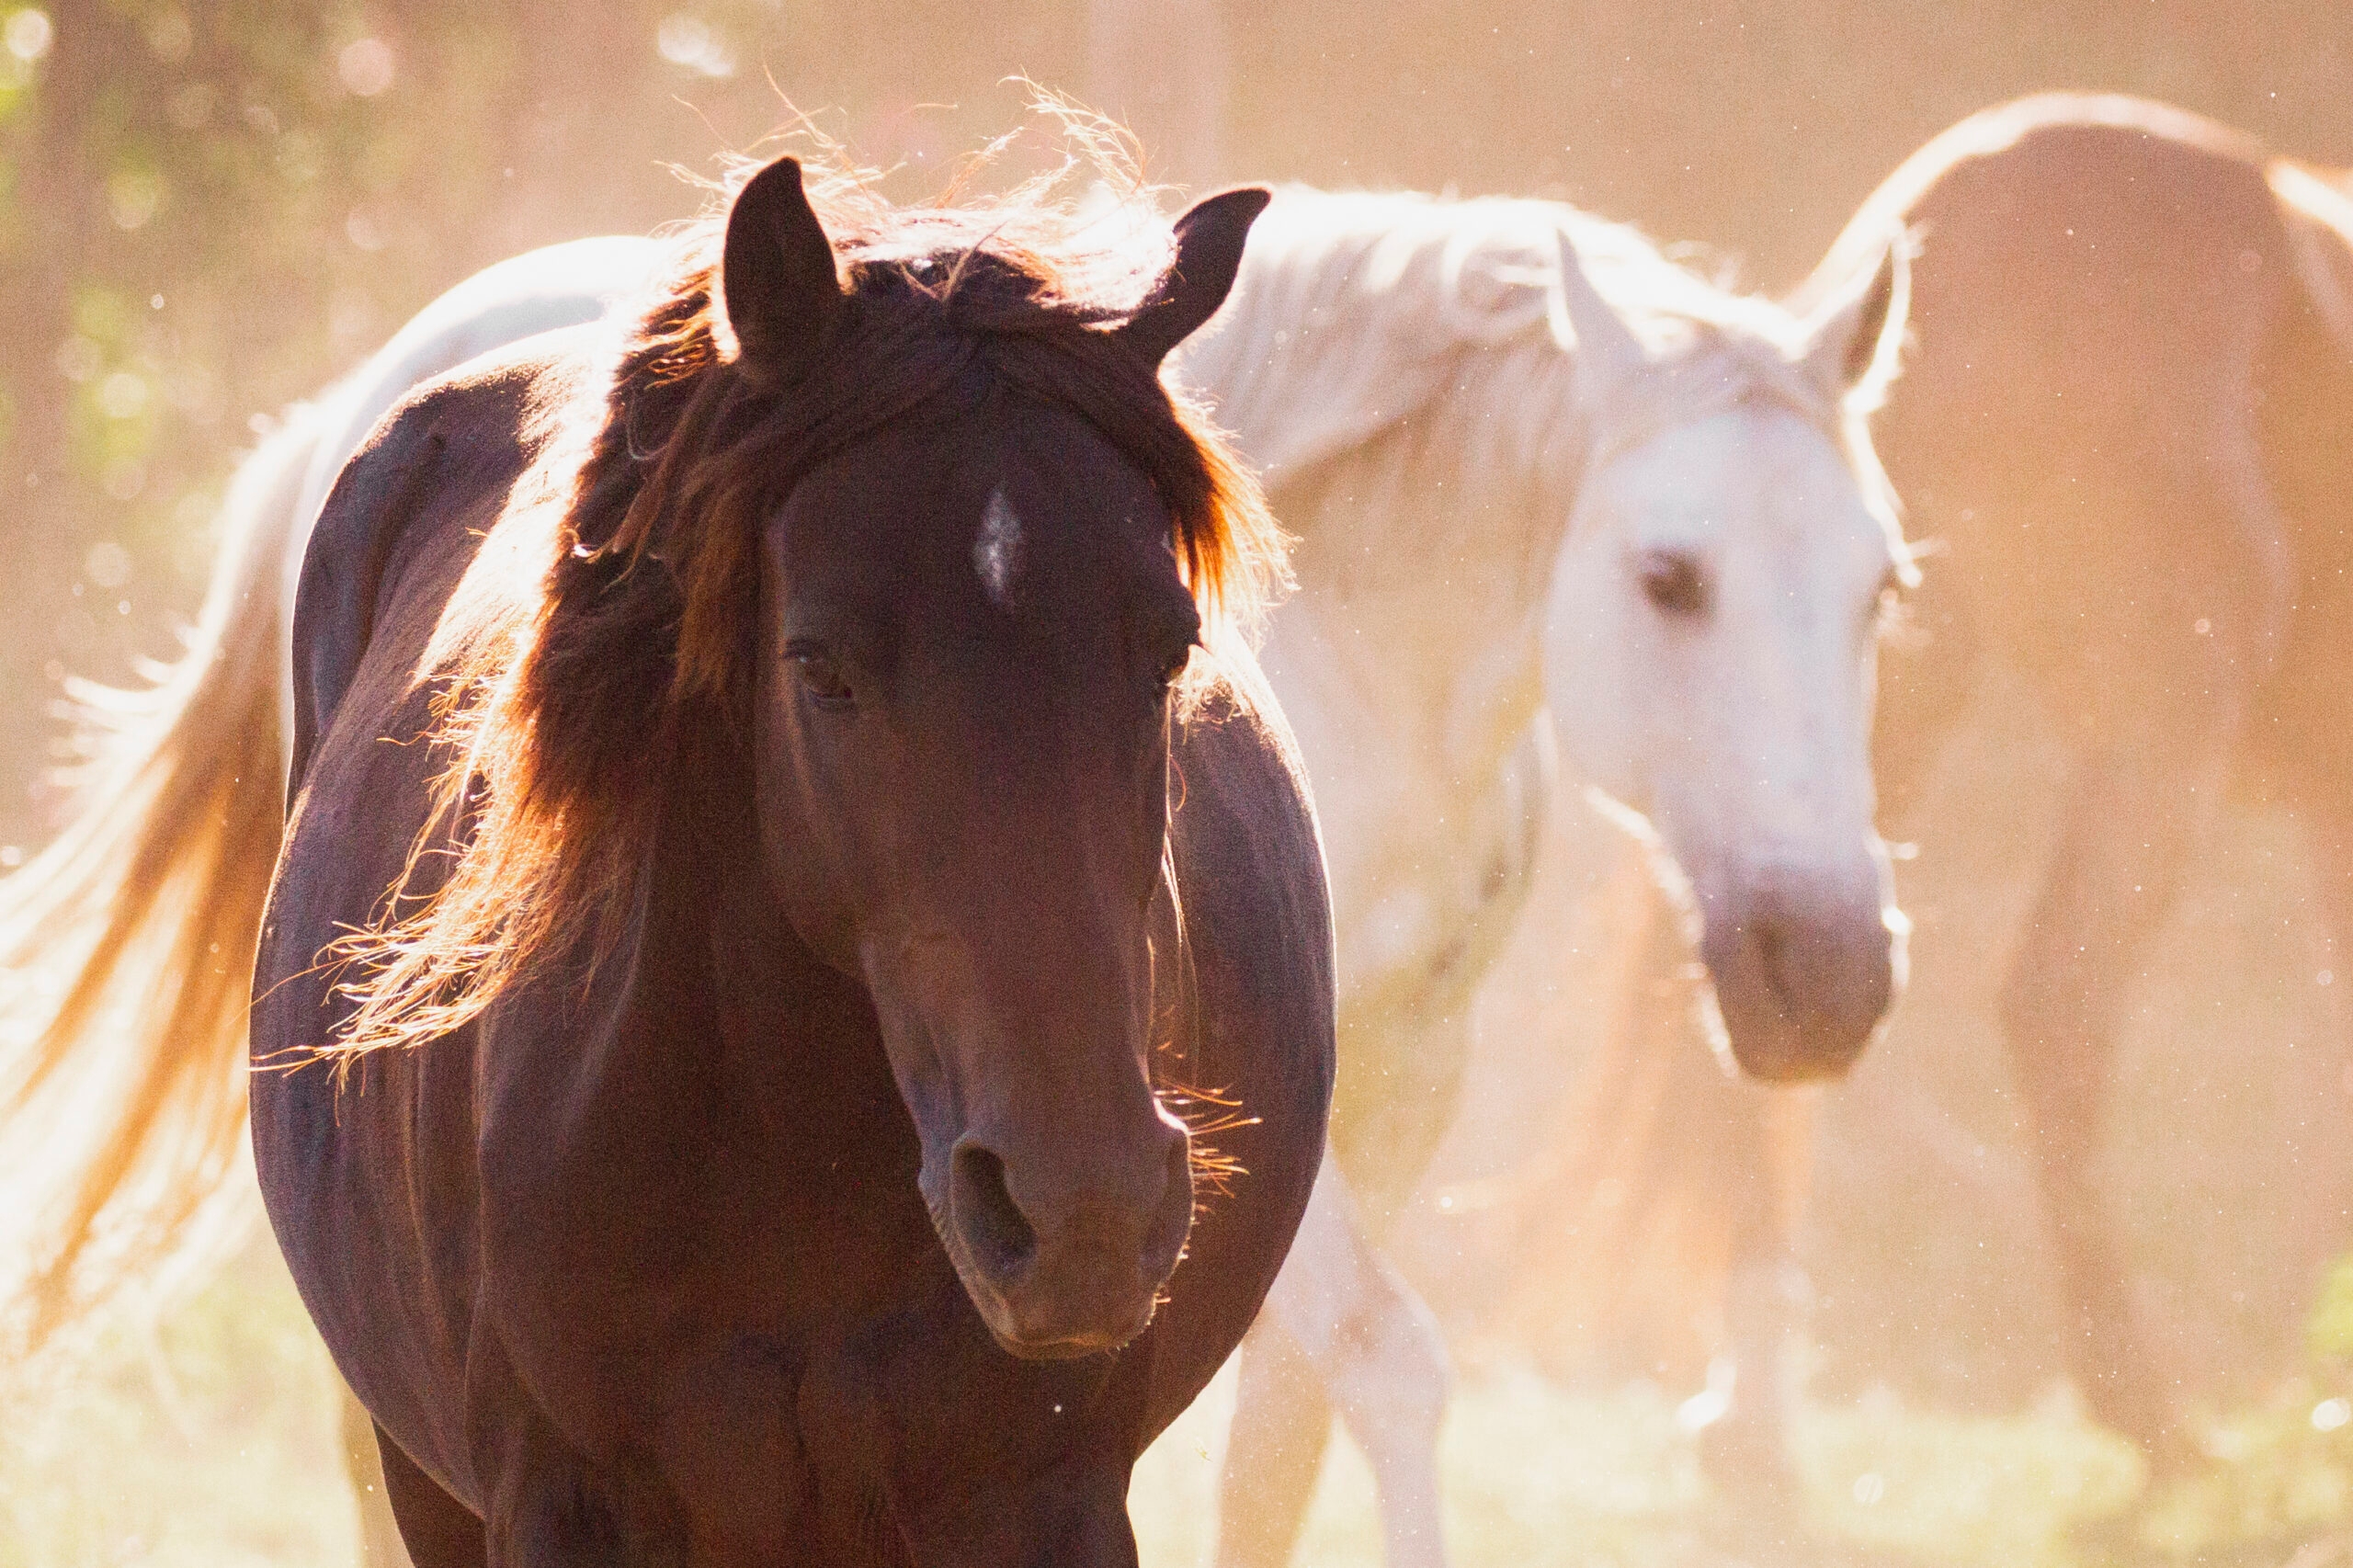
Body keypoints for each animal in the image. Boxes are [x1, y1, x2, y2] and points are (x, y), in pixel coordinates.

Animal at [1164, 187, 1914, 1566]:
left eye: (1880, 588)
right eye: (1668, 577)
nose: (1830, 976)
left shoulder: (1401, 1081)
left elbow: (1275, 1446)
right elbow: (1389, 1359)